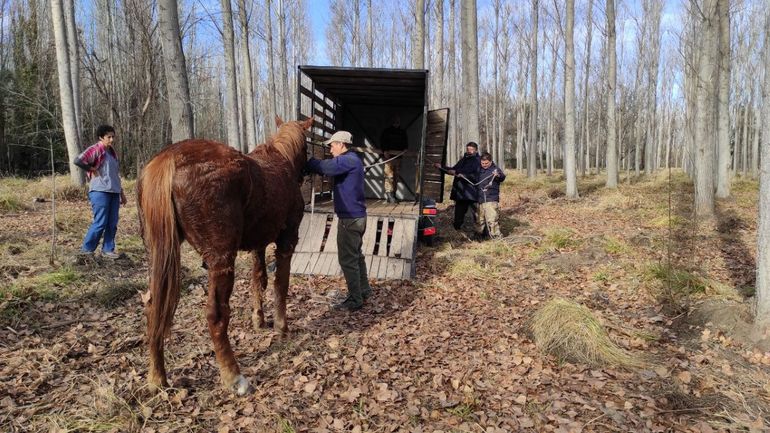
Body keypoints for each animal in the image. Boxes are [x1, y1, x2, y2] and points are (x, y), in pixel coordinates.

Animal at [137, 117, 313, 395]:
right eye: (307, 146)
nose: (307, 171)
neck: (282, 160)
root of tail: (168, 159)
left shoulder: (257, 244)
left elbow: (258, 280)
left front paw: (259, 319)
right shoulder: (287, 238)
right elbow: (281, 284)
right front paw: (282, 328)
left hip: (157, 254)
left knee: (153, 307)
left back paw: (157, 378)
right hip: (221, 259)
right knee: (216, 314)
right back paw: (234, 377)